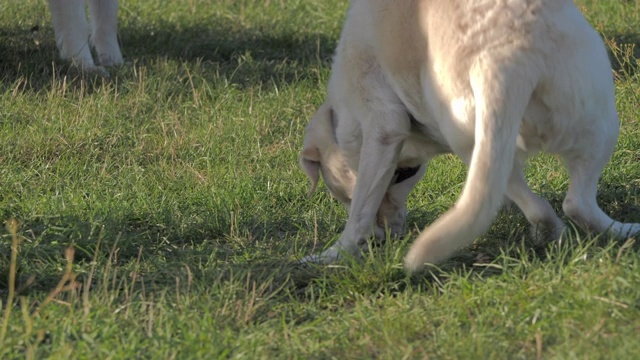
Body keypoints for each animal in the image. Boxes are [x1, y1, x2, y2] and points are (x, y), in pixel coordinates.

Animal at [300, 0, 640, 272]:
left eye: (403, 175)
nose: (383, 237)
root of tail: (500, 59)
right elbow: (361, 209)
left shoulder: (382, 131)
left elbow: (361, 207)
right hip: (600, 118)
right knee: (572, 203)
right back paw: (617, 231)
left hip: (479, 135)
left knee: (548, 202)